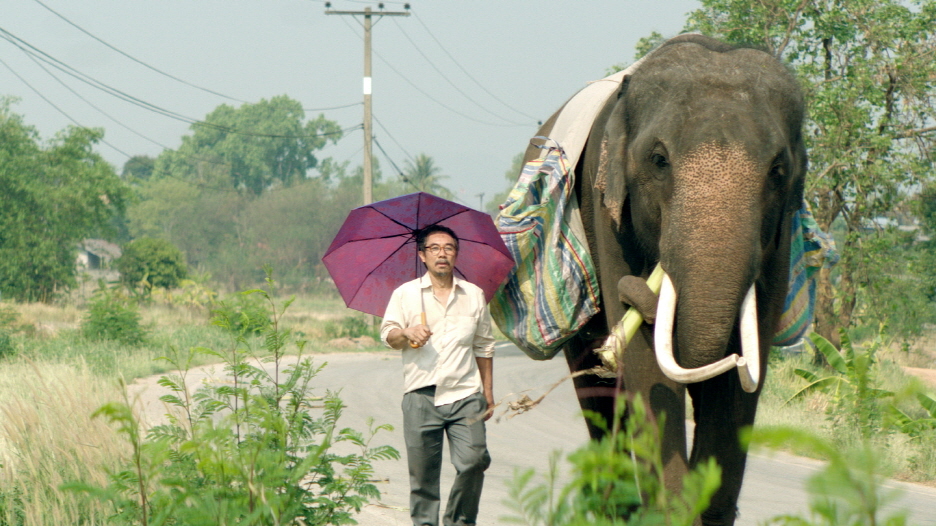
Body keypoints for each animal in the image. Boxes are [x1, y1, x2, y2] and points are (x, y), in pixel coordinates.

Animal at [528, 35, 804, 524]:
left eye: (778, 172)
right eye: (659, 161)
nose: (634, 293)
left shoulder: (778, 241)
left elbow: (740, 381)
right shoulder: (605, 205)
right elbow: (646, 368)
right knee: (598, 393)